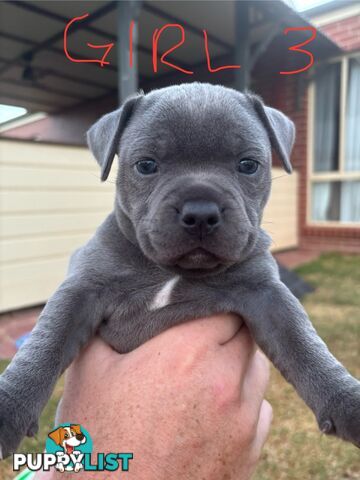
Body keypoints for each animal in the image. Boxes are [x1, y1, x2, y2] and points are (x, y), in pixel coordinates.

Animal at [0, 83, 360, 458]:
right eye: (146, 165)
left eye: (248, 165)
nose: (200, 212)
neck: (171, 272)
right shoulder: (82, 288)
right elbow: (47, 341)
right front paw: (8, 406)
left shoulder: (267, 294)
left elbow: (302, 341)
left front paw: (346, 399)